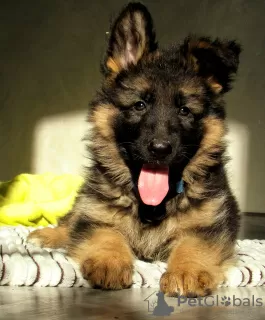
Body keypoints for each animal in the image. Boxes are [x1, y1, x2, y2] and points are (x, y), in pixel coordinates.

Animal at [27, 3, 240, 298]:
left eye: (185, 111)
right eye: (140, 105)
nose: (160, 149)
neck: (152, 205)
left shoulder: (208, 226)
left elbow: (193, 245)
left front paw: (186, 272)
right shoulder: (98, 215)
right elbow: (105, 234)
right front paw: (109, 262)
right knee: (72, 219)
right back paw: (48, 236)